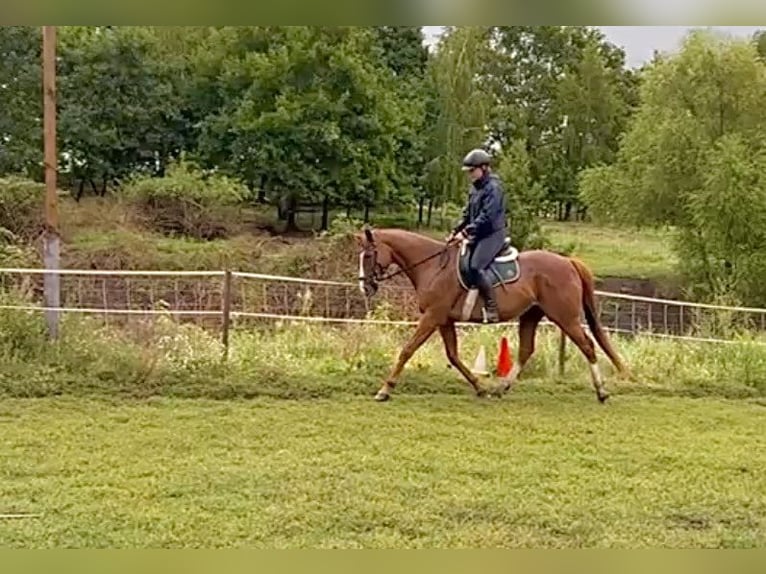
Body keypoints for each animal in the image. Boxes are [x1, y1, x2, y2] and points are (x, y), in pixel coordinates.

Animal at [354, 226, 628, 402]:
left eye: (368, 255)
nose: (364, 287)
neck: (432, 266)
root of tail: (568, 261)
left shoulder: (432, 317)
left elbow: (407, 350)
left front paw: (384, 390)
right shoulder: (444, 320)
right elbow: (453, 356)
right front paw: (480, 388)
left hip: (565, 317)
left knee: (588, 346)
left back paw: (601, 392)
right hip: (531, 315)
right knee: (526, 350)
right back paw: (500, 388)